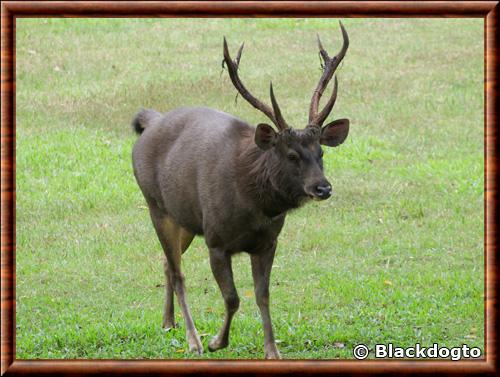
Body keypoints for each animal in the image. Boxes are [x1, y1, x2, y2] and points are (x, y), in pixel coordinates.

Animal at [133, 21, 352, 358]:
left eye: (321, 153)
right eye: (291, 155)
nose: (322, 187)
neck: (255, 206)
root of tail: (149, 122)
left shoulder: (268, 242)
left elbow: (263, 295)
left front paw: (272, 350)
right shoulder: (216, 241)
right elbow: (233, 297)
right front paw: (217, 341)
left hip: (186, 219)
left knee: (168, 263)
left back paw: (168, 322)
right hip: (156, 205)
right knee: (179, 273)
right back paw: (193, 339)